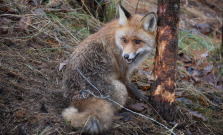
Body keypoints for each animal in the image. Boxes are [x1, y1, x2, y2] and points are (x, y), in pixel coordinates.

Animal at [61, 5, 157, 134]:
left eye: (138, 41)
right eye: (124, 40)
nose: (126, 56)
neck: (116, 38)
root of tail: (78, 98)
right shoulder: (123, 74)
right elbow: (134, 90)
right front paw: (146, 100)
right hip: (120, 89)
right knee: (110, 113)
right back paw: (122, 116)